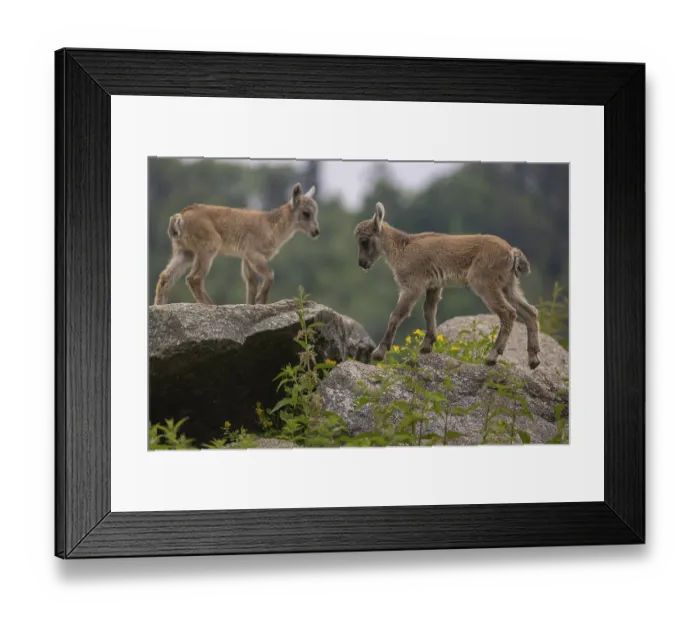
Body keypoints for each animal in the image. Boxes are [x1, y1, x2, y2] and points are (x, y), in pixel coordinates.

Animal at [154, 183, 320, 306]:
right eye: (306, 213)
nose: (316, 231)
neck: (272, 227)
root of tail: (179, 218)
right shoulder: (253, 253)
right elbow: (270, 274)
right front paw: (261, 300)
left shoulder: (245, 258)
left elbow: (251, 283)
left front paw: (253, 304)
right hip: (208, 246)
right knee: (194, 278)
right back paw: (209, 306)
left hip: (185, 251)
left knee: (165, 277)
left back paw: (160, 306)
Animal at [354, 202, 541, 369]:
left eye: (364, 240)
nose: (362, 263)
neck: (402, 249)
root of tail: (511, 253)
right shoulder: (434, 285)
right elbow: (429, 311)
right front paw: (426, 346)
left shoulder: (412, 286)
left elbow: (397, 315)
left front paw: (379, 353)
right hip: (508, 285)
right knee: (530, 312)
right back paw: (533, 359)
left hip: (484, 283)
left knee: (509, 313)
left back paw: (492, 357)